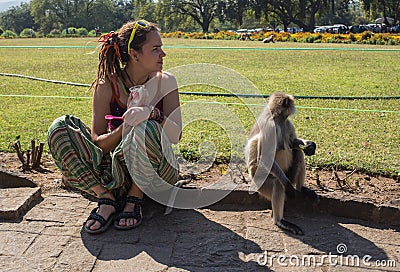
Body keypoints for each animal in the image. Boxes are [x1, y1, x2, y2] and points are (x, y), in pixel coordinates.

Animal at [244, 92, 318, 236]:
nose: (295, 106)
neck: (277, 118)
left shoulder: (286, 122)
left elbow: (293, 142)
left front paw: (310, 145)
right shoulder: (269, 127)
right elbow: (265, 158)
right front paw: (288, 187)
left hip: (290, 173)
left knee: (298, 152)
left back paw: (301, 189)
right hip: (262, 184)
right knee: (279, 183)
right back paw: (280, 221)